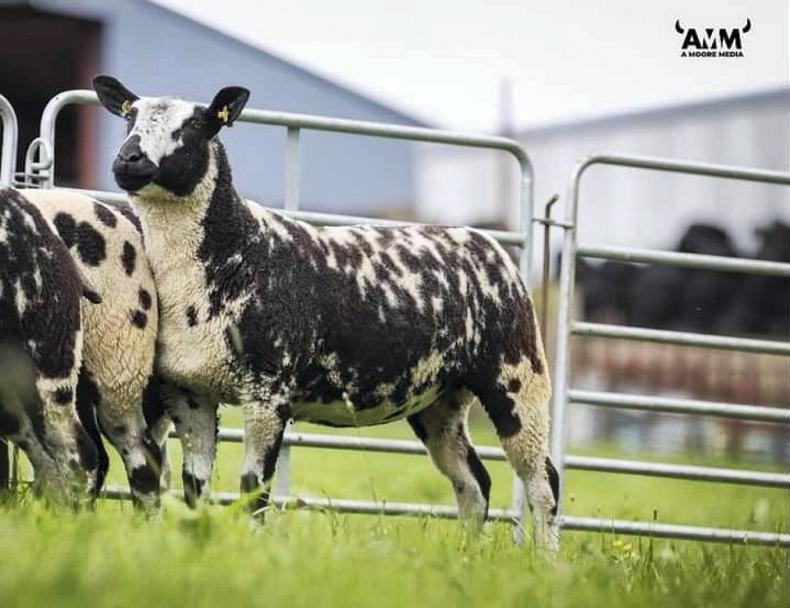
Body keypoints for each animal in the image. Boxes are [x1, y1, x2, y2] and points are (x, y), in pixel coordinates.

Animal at [92, 75, 559, 550]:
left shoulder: (269, 392)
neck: (233, 251)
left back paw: (547, 559)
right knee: (473, 480)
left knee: (542, 479)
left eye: (194, 126)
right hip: (440, 398)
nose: (128, 159)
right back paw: (467, 553)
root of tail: (493, 247)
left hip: (518, 374)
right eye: (129, 117)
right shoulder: (191, 393)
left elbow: (253, 487)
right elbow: (194, 488)